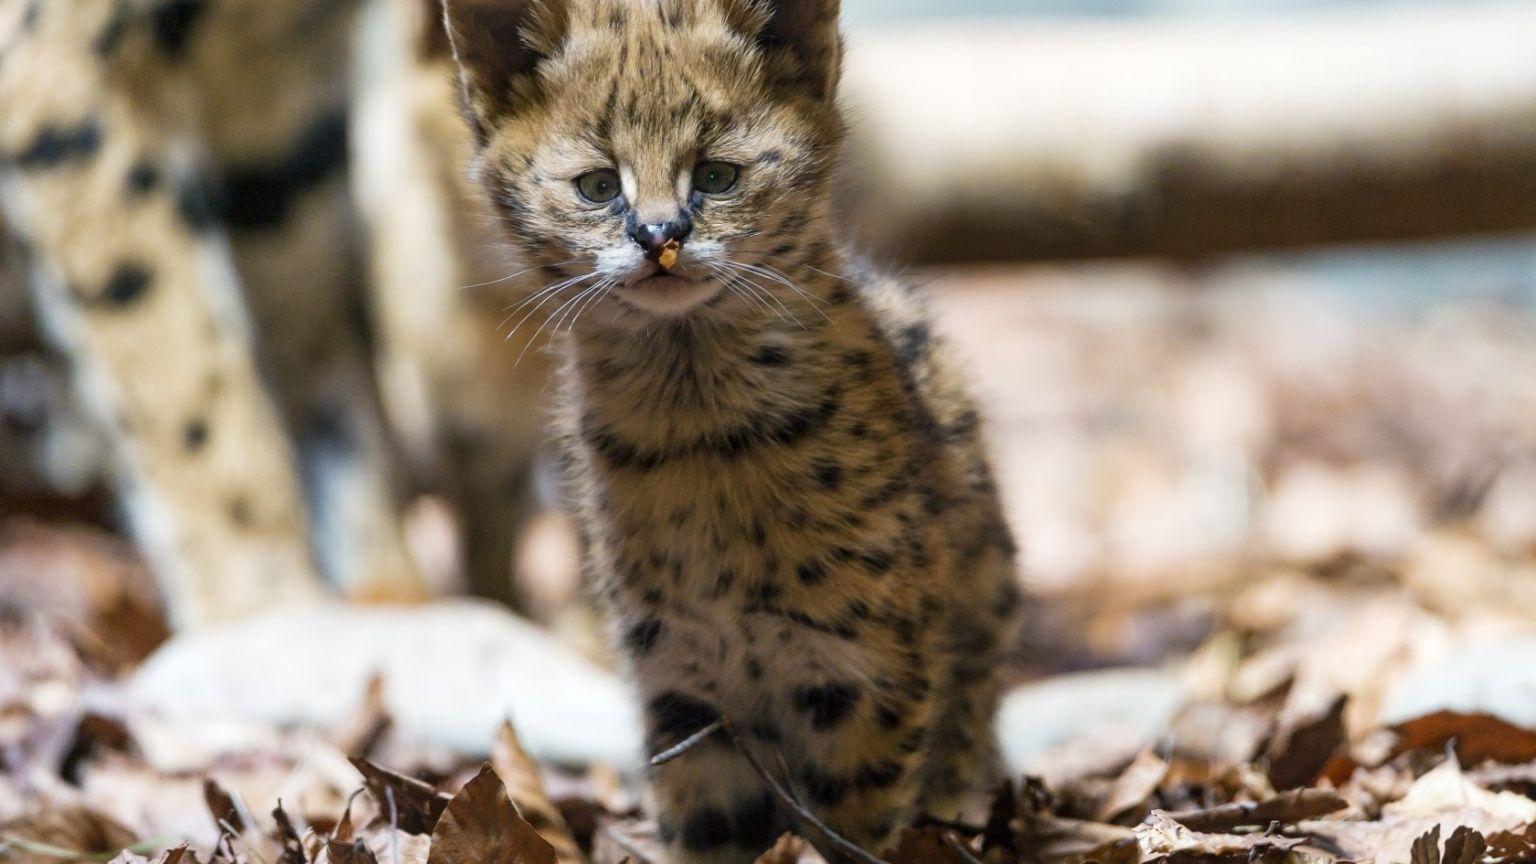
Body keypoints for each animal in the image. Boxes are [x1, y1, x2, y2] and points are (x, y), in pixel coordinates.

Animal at [439, 0, 1024, 859]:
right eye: (597, 186)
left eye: (717, 175)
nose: (659, 237)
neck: (697, 431)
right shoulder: (677, 678)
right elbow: (707, 823)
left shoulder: (872, 664)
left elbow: (855, 819)